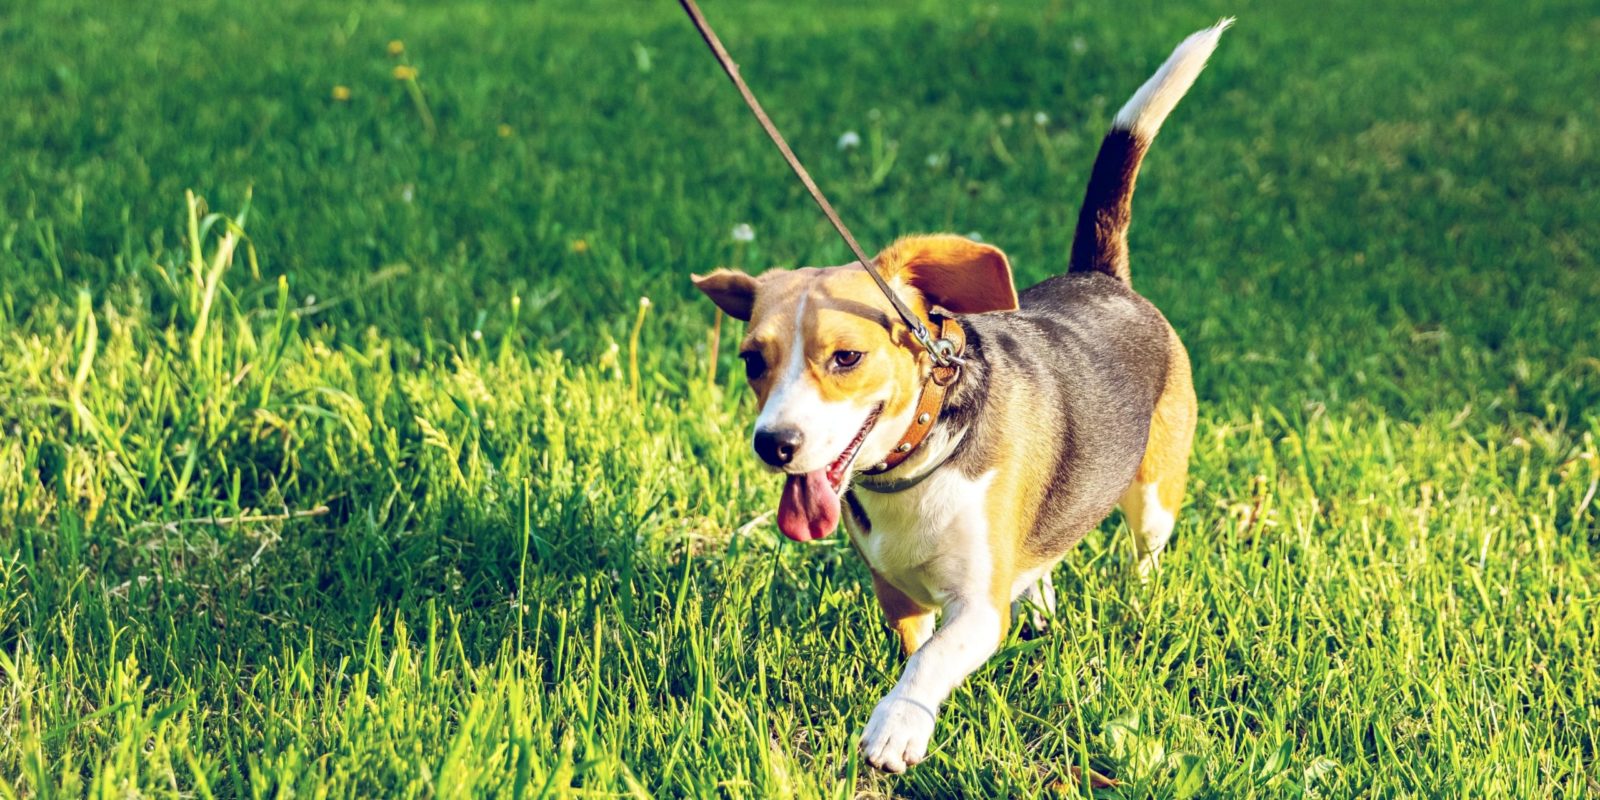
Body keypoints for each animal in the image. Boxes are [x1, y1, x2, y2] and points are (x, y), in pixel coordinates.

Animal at [688, 21, 1222, 771]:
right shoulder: (896, 591)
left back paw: (1138, 602)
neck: (916, 460)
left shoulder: (977, 605)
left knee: (1144, 552)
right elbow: (917, 646)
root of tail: (1100, 276)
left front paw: (897, 725)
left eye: (847, 357)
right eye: (750, 361)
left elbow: (933, 660)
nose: (775, 444)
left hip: (1154, 493)